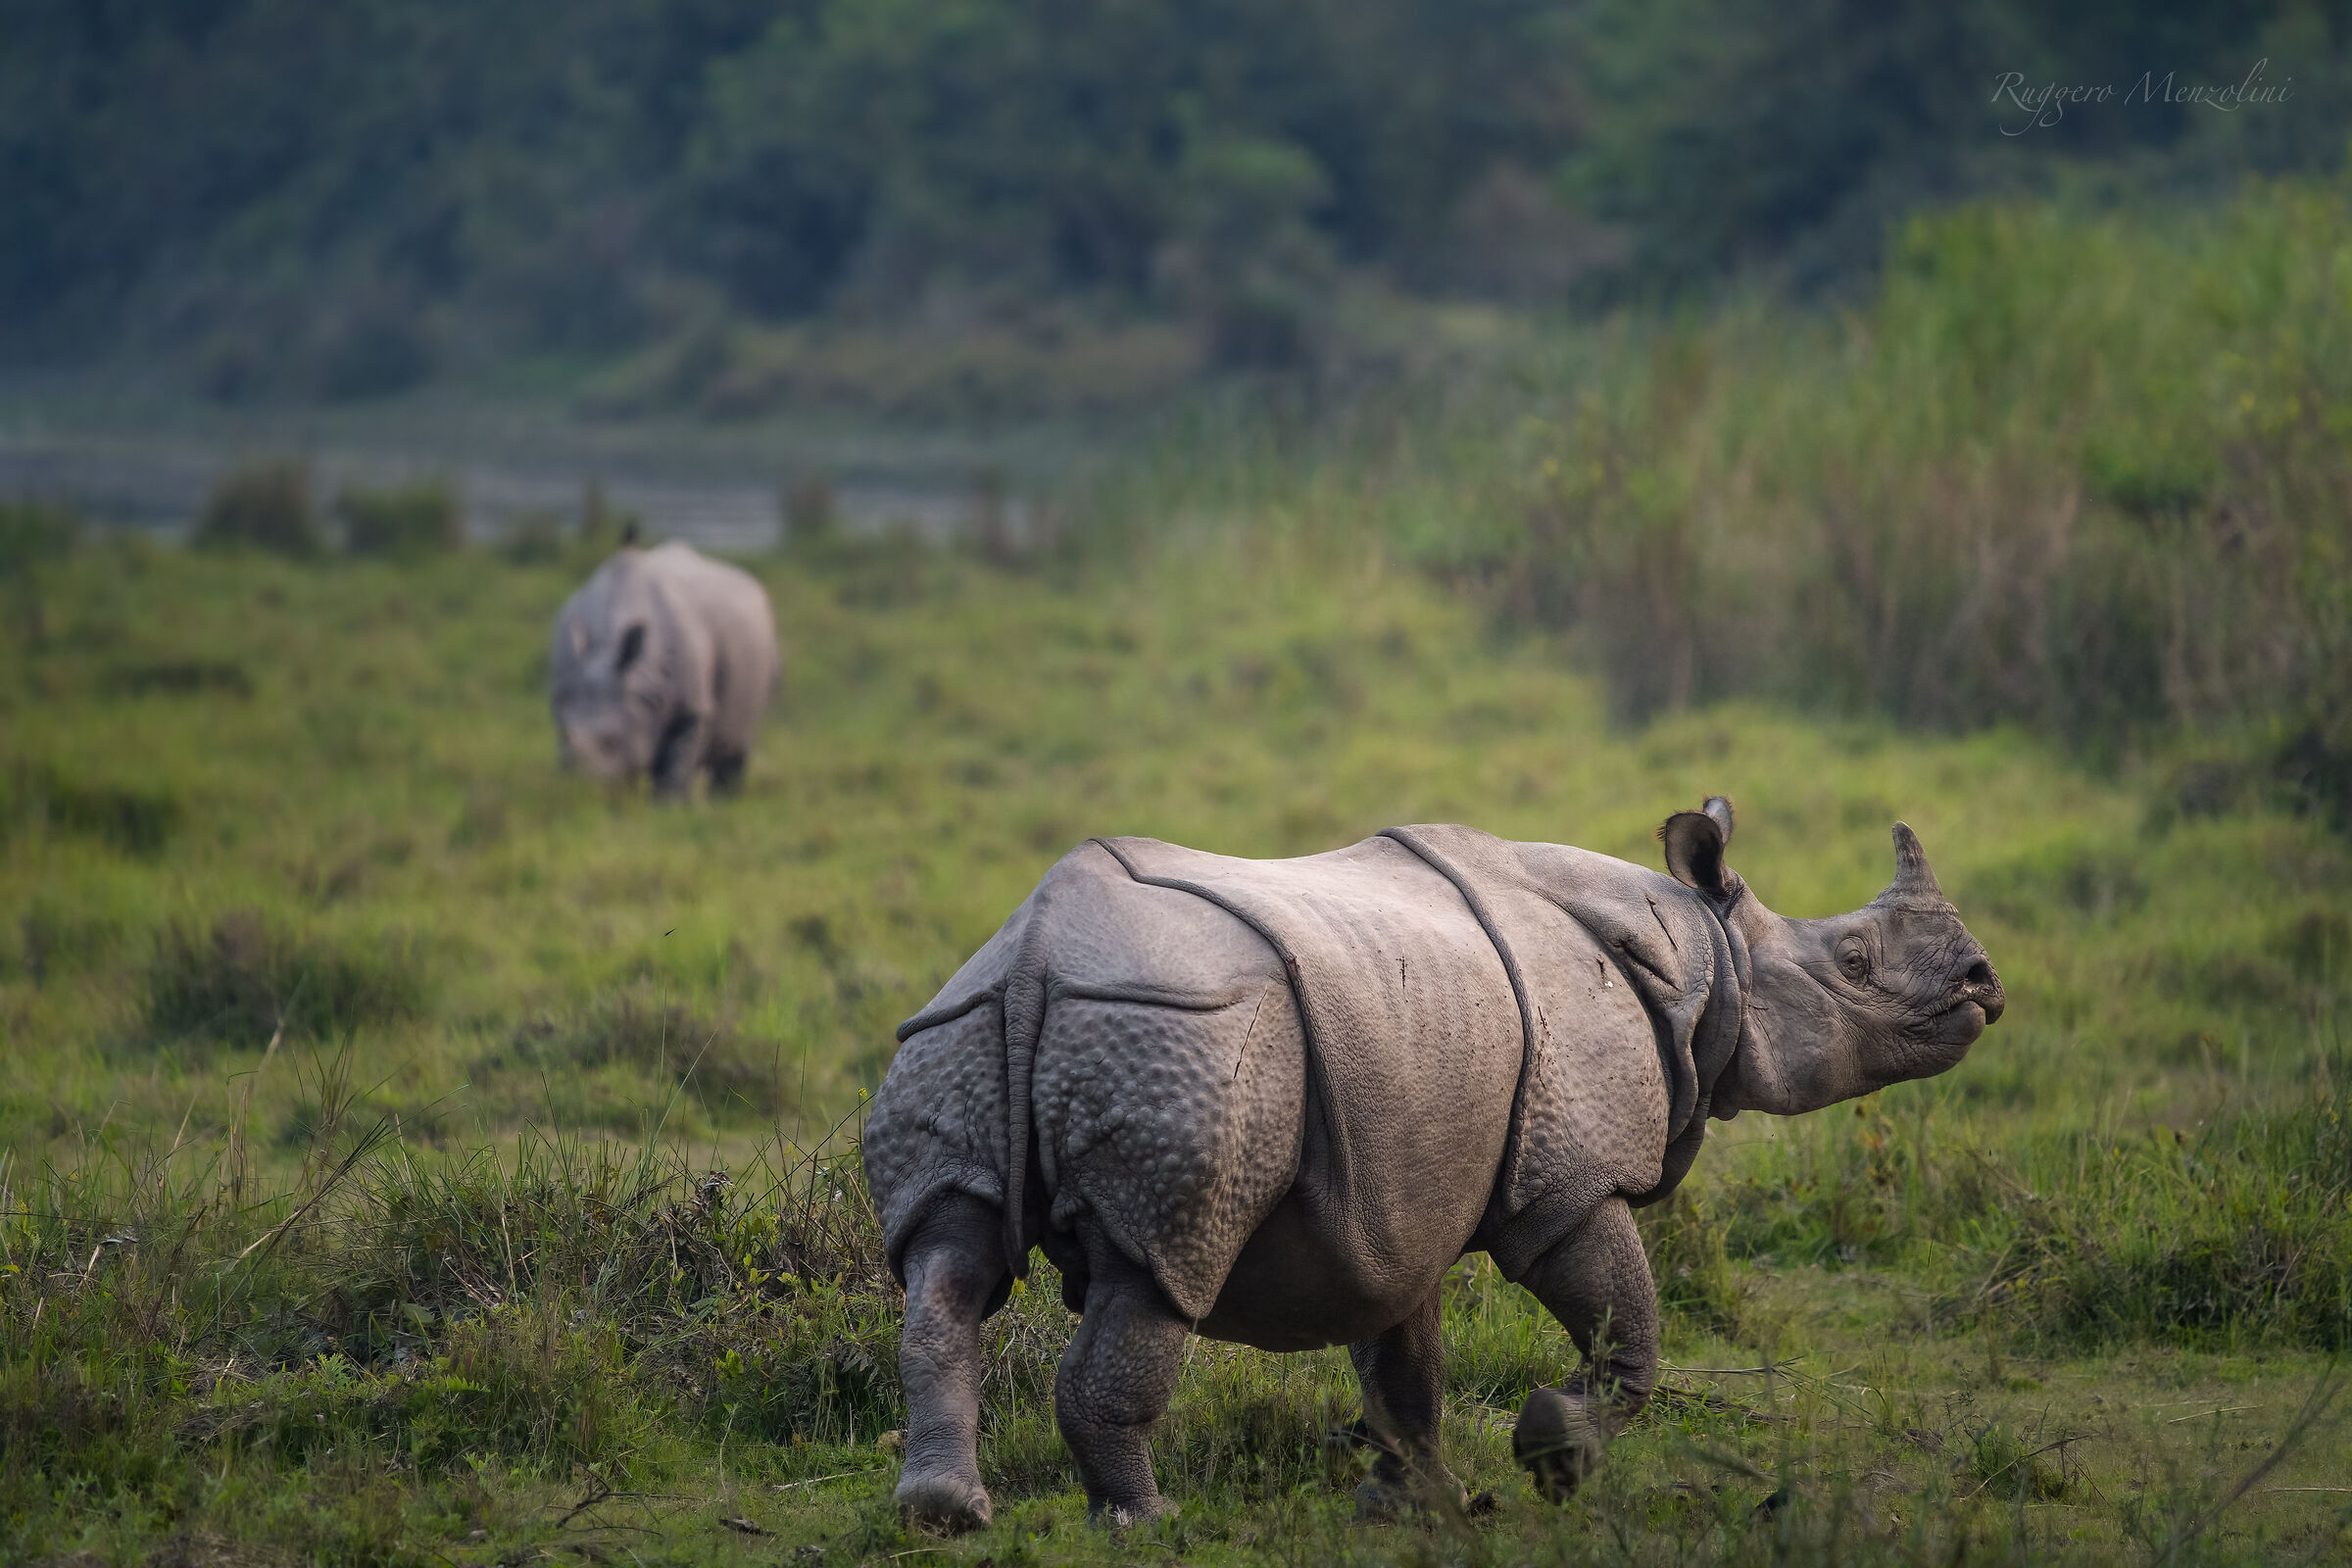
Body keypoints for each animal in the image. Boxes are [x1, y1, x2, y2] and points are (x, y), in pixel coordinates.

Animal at [549, 539, 779, 798]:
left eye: (611, 739)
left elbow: (676, 765)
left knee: (741, 740)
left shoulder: (690, 710)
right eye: (564, 732)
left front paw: (670, 805)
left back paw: (725, 799)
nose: (577, 787)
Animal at [862, 799, 2002, 1530]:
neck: (1710, 958)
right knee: (1161, 1267)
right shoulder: (1565, 1177)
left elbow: (1404, 1354)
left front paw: (1425, 1504)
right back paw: (1146, 1522)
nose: (1985, 985)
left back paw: (947, 1515)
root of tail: (1037, 954)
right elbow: (1626, 1328)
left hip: (953, 1030)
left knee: (947, 1257)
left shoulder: (1395, 1181)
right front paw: (1553, 1458)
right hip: (1179, 1034)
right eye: (1854, 964)